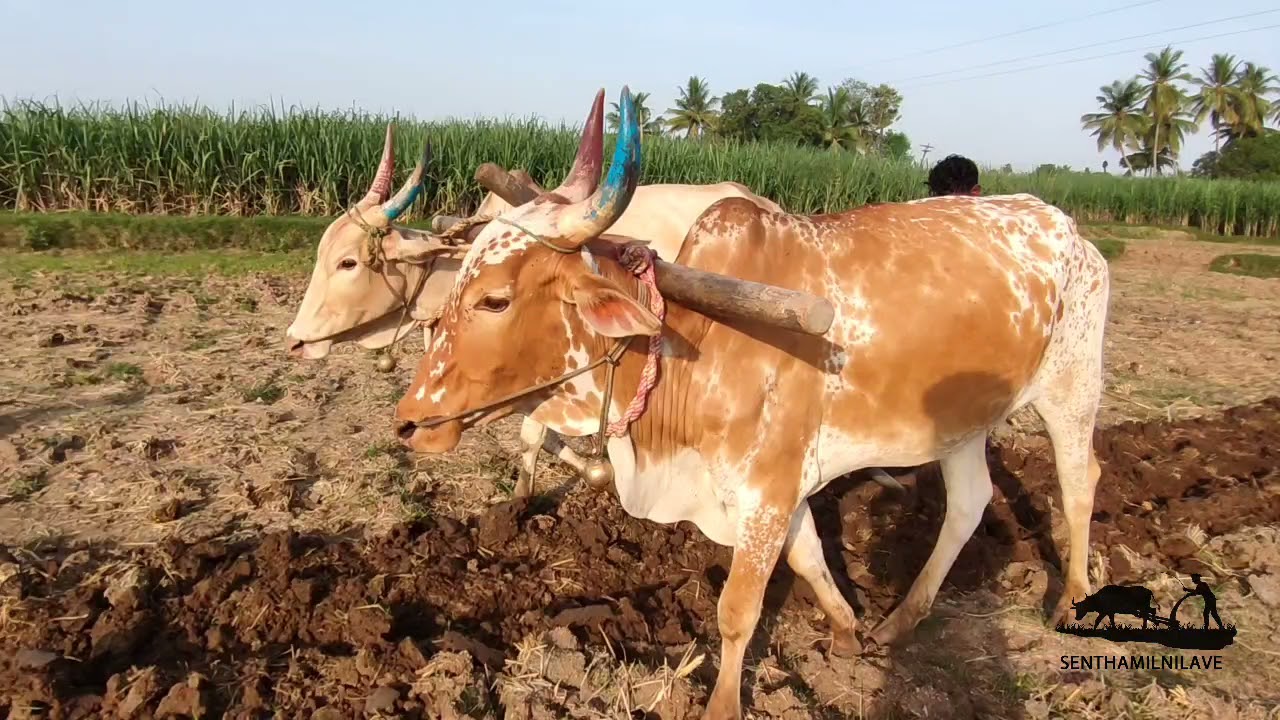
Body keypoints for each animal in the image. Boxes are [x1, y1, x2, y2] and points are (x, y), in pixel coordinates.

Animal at [390, 86, 1110, 720]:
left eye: (494, 299)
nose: (409, 422)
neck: (694, 346)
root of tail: (1068, 226)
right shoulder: (777, 487)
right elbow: (810, 557)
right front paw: (847, 631)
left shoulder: (768, 487)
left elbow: (738, 610)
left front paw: (723, 705)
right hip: (960, 423)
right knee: (968, 503)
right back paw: (902, 618)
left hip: (1072, 386)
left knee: (1080, 481)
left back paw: (1072, 597)